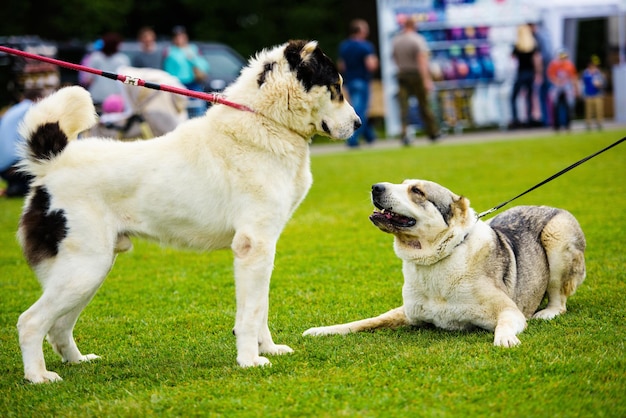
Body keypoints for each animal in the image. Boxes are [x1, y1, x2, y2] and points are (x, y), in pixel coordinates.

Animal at [14, 40, 358, 382]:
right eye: (336, 87)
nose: (358, 124)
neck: (266, 120)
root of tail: (53, 163)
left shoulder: (264, 248)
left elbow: (261, 306)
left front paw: (269, 349)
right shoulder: (254, 246)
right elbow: (250, 313)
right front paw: (250, 360)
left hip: (90, 269)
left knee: (58, 326)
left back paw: (79, 361)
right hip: (85, 268)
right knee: (31, 321)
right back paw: (39, 377)